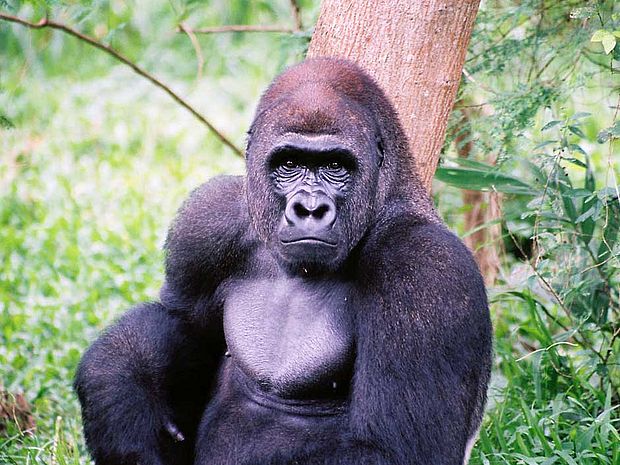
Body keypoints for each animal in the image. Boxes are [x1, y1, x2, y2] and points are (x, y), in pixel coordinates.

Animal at [74, 58, 490, 464]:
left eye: (336, 166)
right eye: (289, 163)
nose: (310, 208)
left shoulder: (426, 270)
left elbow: (394, 449)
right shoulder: (209, 219)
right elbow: (181, 323)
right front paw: (118, 383)